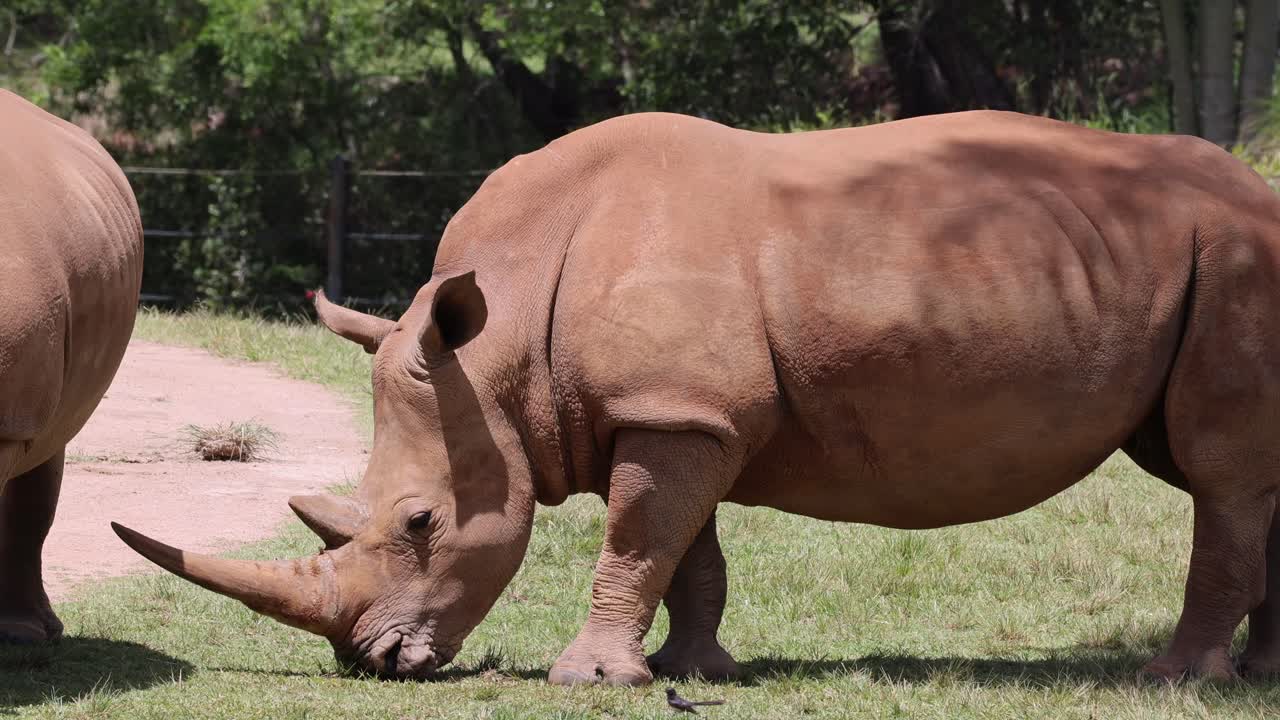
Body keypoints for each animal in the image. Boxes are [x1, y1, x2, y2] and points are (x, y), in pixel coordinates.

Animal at [116, 110, 1280, 684]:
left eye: (418, 524)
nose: (369, 663)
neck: (496, 356)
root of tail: (1261, 197)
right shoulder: (678, 409)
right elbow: (685, 552)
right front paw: (692, 667)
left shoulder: (676, 412)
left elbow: (637, 540)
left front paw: (591, 683)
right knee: (1246, 478)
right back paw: (1257, 675)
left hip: (1235, 261)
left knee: (1219, 472)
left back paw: (1175, 682)